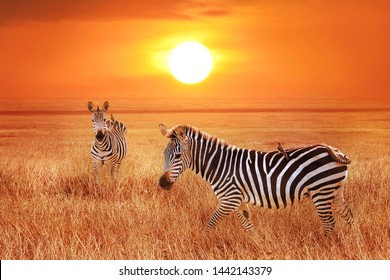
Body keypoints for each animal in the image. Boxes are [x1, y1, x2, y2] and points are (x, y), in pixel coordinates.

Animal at [158, 124, 354, 234]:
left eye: (177, 156)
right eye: (164, 154)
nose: (162, 183)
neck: (219, 165)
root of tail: (334, 150)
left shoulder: (229, 199)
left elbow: (210, 224)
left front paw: (203, 241)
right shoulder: (238, 200)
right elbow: (248, 226)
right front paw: (256, 244)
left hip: (321, 191)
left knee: (329, 223)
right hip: (335, 191)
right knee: (348, 215)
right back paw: (350, 240)